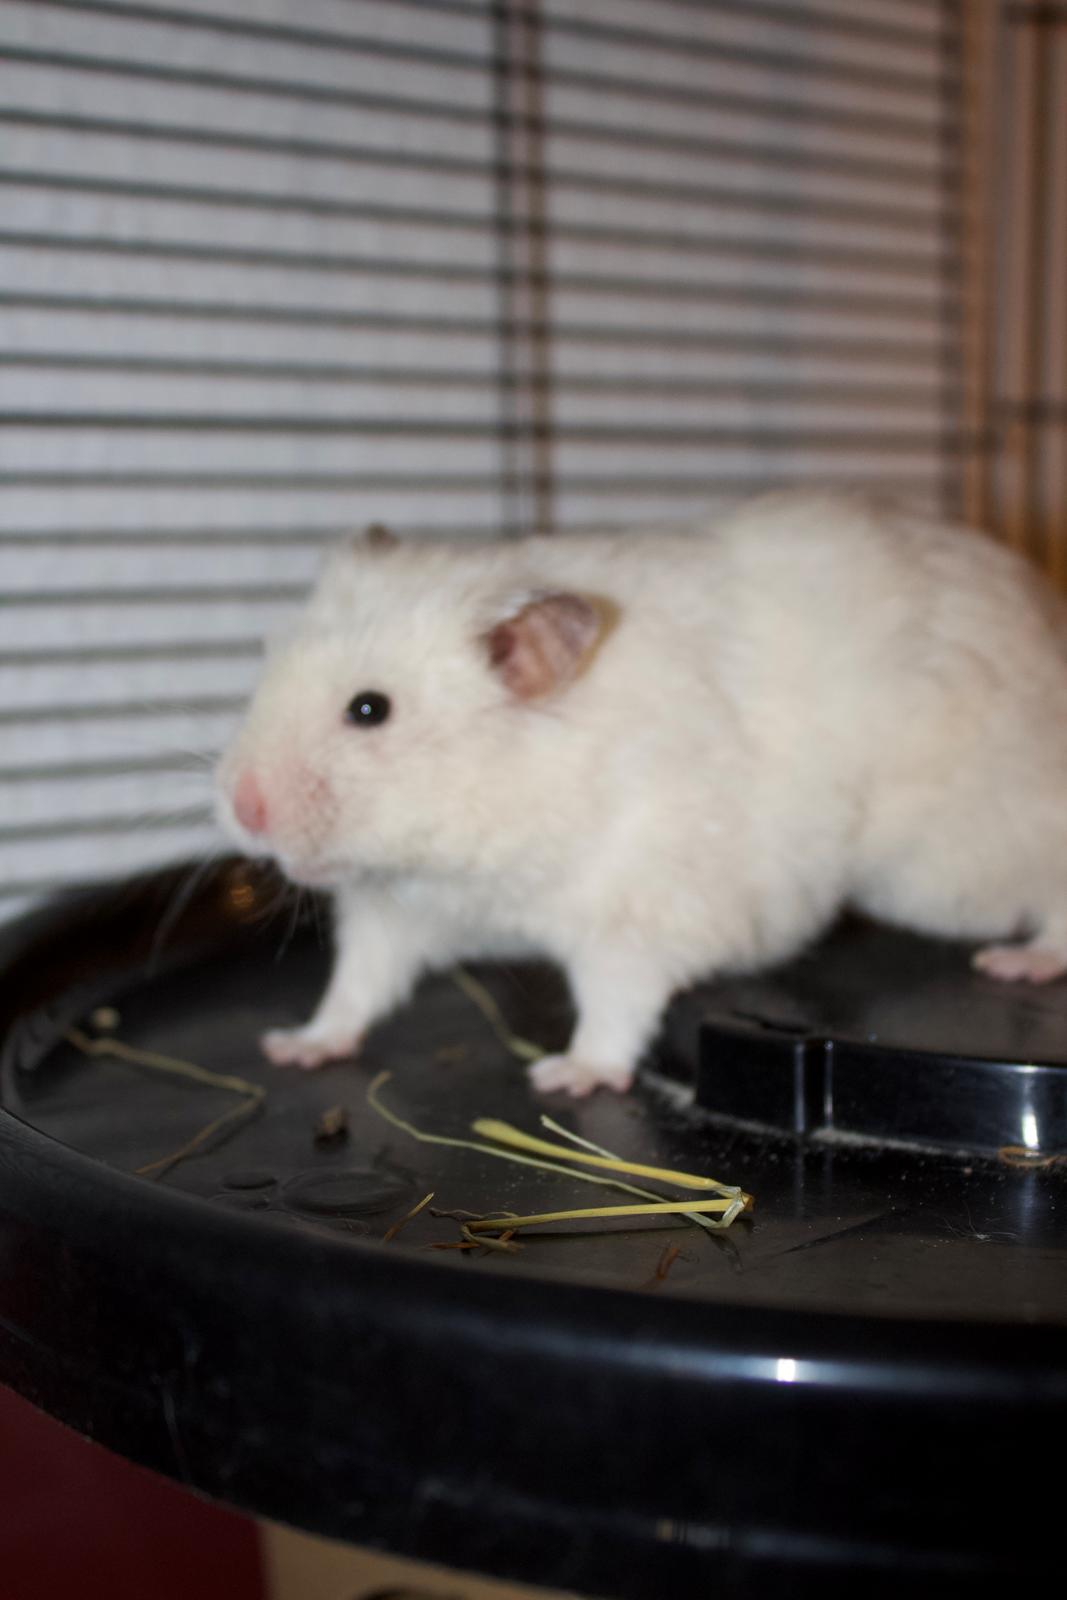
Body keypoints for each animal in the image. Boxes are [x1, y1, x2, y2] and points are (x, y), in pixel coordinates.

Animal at [215, 489, 1067, 1096]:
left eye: (370, 709)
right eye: (266, 670)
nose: (241, 809)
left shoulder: (639, 907)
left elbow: (616, 1002)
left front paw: (565, 1077)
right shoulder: (394, 909)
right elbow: (356, 986)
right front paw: (292, 1048)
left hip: (954, 858)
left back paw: (1018, 964)